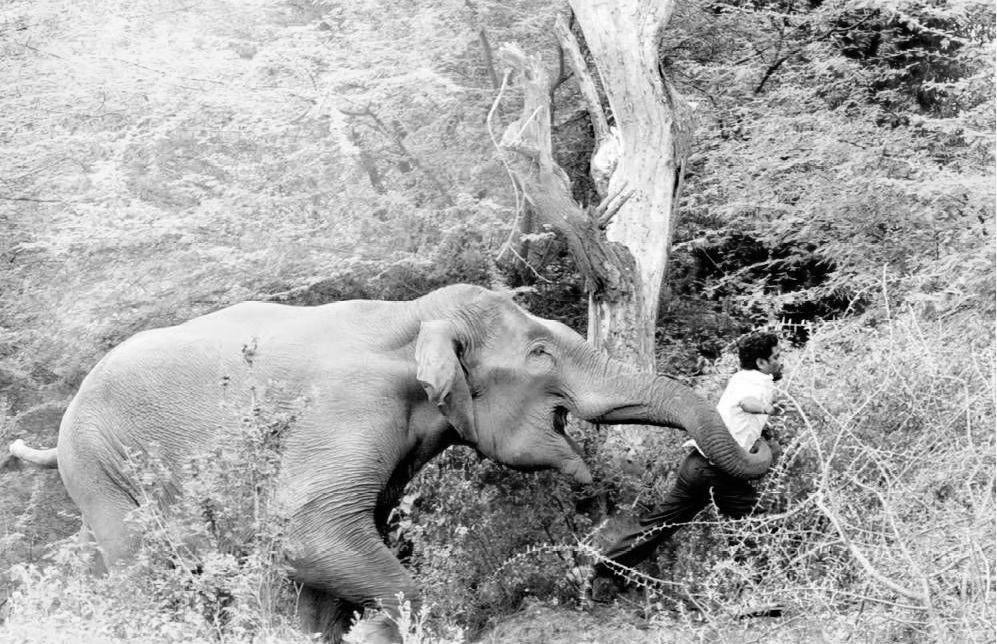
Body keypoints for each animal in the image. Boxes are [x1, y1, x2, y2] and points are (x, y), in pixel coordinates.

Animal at [7, 284, 770, 641]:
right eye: (539, 355)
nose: (601, 523)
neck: (411, 317)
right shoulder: (344, 412)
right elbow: (313, 534)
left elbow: (330, 552)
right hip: (100, 470)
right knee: (144, 573)